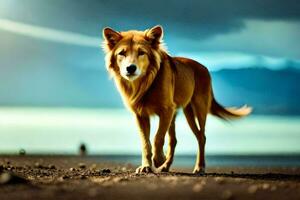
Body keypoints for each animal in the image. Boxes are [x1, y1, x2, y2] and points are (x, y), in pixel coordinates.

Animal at [102, 25, 252, 173]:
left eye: (141, 53)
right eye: (122, 53)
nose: (130, 68)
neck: (144, 83)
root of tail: (204, 68)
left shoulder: (167, 110)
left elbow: (157, 137)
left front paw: (159, 159)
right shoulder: (141, 115)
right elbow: (146, 142)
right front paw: (146, 166)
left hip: (198, 109)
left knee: (201, 137)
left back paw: (199, 167)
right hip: (181, 114)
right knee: (174, 140)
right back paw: (166, 167)